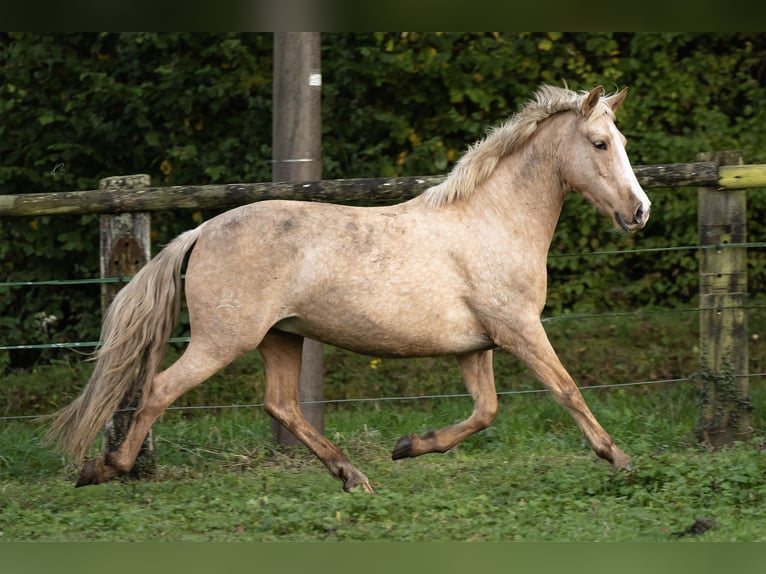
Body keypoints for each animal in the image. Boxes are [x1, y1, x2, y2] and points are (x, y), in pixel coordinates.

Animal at [45, 84, 652, 496]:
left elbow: (486, 412)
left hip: (282, 338)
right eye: (600, 143)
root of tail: (200, 232)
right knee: (160, 389)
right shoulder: (519, 329)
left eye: (622, 140)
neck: (491, 222)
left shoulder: (475, 346)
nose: (639, 211)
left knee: (281, 403)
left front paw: (409, 446)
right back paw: (104, 469)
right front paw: (620, 458)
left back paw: (352, 474)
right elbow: (567, 389)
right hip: (224, 340)